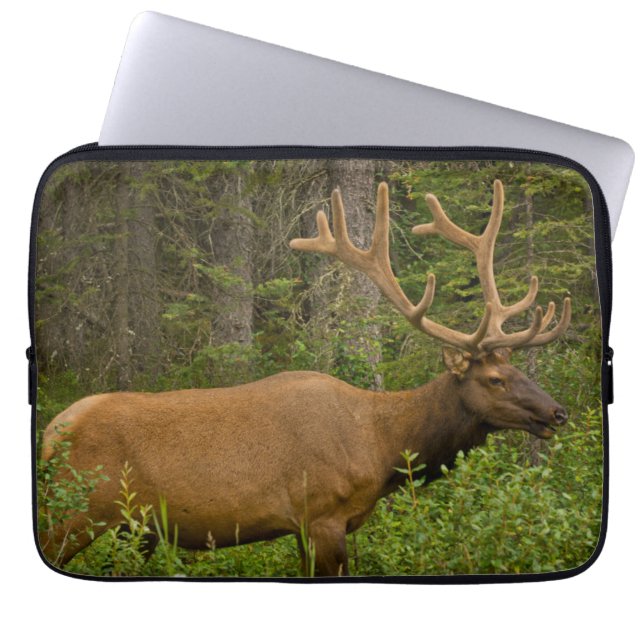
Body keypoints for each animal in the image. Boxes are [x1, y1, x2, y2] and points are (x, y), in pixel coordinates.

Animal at [39, 179, 571, 577]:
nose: (558, 412)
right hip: (74, 511)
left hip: (132, 528)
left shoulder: (303, 528)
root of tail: (51, 432)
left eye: (516, 369)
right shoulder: (322, 516)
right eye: (496, 379)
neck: (382, 447)